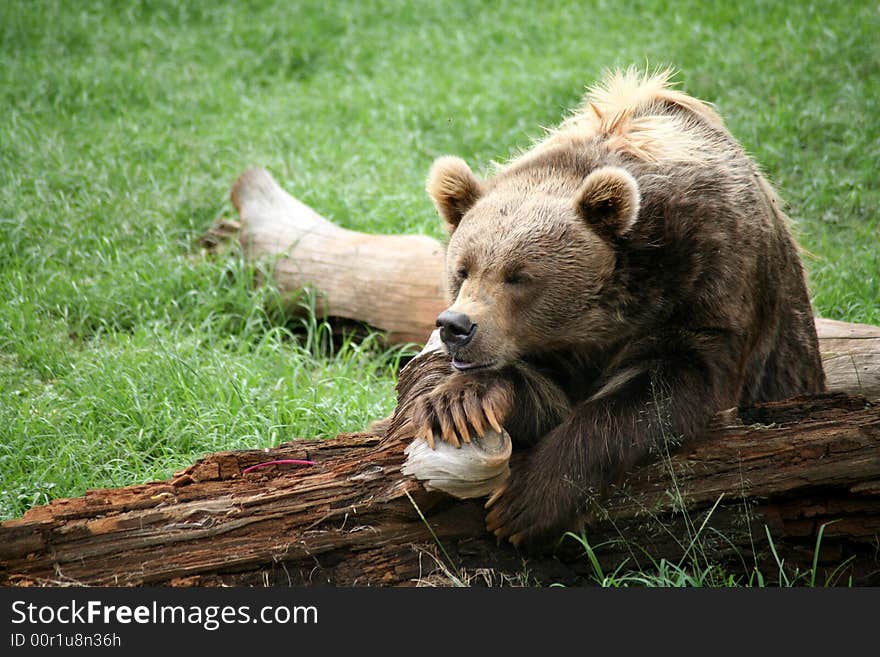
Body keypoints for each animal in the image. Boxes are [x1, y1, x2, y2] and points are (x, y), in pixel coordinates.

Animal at [384, 66, 824, 548]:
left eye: (518, 276)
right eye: (463, 270)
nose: (457, 326)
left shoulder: (709, 280)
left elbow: (664, 388)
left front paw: (523, 504)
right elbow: (543, 394)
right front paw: (461, 403)